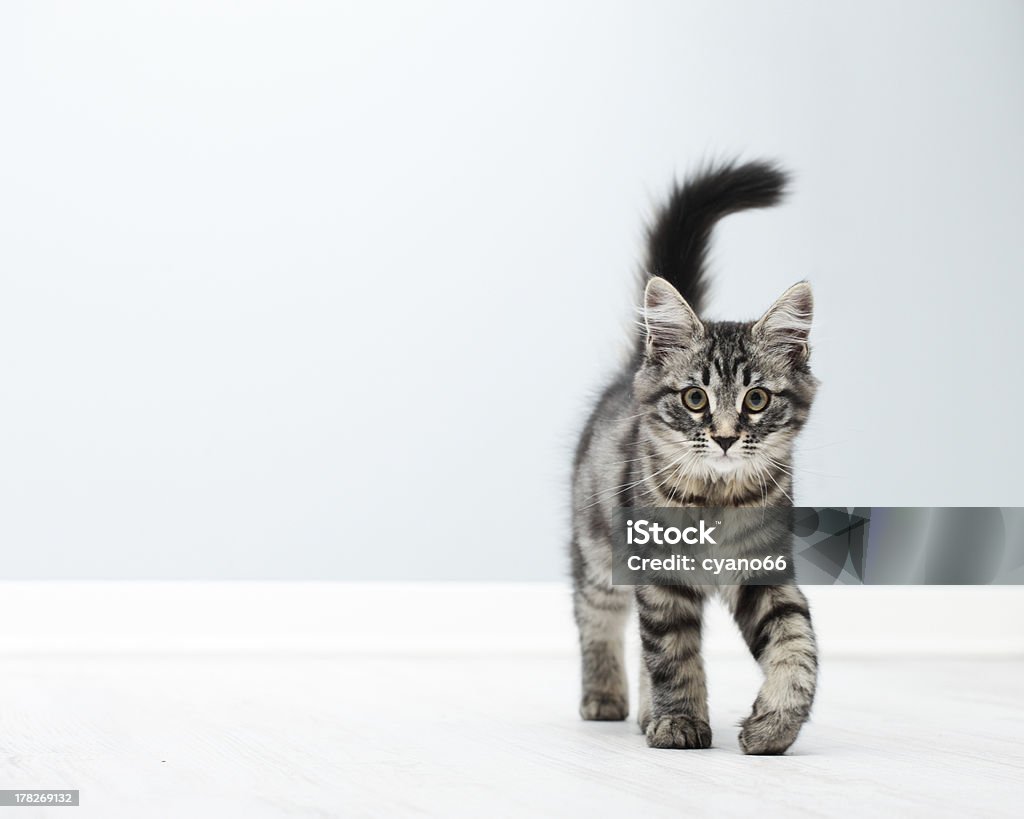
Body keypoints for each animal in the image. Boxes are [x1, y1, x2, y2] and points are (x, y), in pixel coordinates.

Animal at [573, 159, 819, 753]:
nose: (726, 437)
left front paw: (775, 724)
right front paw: (680, 722)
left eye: (756, 400)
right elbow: (671, 651)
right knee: (597, 619)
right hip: (596, 550)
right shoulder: (659, 575)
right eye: (695, 399)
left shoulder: (764, 569)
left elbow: (796, 644)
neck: (716, 497)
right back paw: (605, 699)